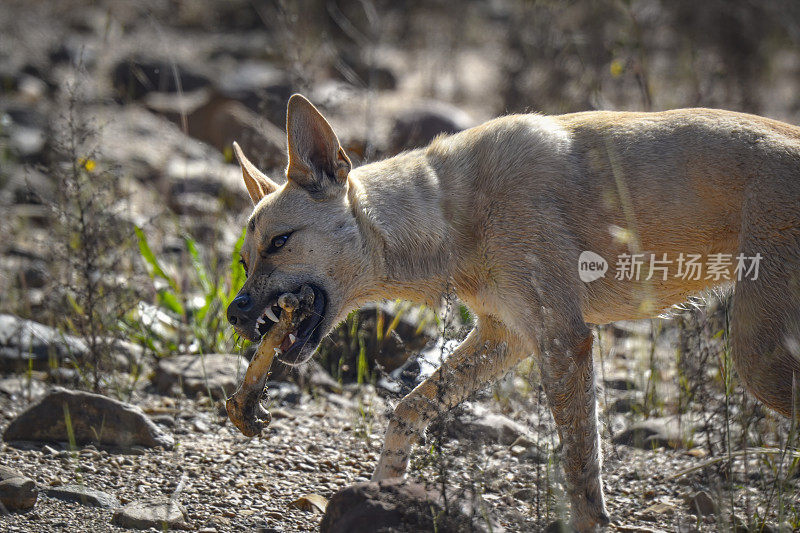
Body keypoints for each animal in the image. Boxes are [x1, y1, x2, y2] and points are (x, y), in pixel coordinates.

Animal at [225, 93, 800, 528]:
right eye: (245, 260)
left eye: (279, 242)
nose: (233, 312)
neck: (451, 213)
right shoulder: (508, 337)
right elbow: (407, 411)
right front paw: (384, 494)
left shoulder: (563, 341)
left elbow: (580, 472)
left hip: (757, 360)